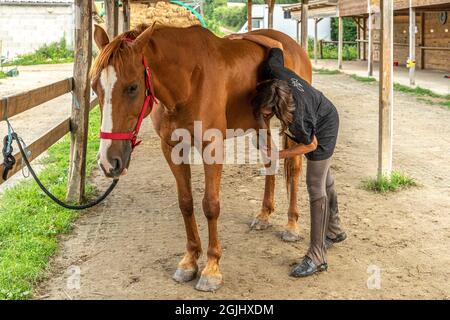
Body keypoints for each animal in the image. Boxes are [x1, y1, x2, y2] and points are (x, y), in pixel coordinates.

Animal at [90, 23, 312, 292]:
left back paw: (292, 224)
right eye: (94, 87)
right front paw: (189, 261)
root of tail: (292, 45)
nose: (108, 162)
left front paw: (212, 268)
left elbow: (210, 205)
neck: (187, 82)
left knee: (294, 168)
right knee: (271, 160)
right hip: (261, 123)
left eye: (132, 87)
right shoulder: (172, 147)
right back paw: (264, 214)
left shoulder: (212, 148)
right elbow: (186, 203)